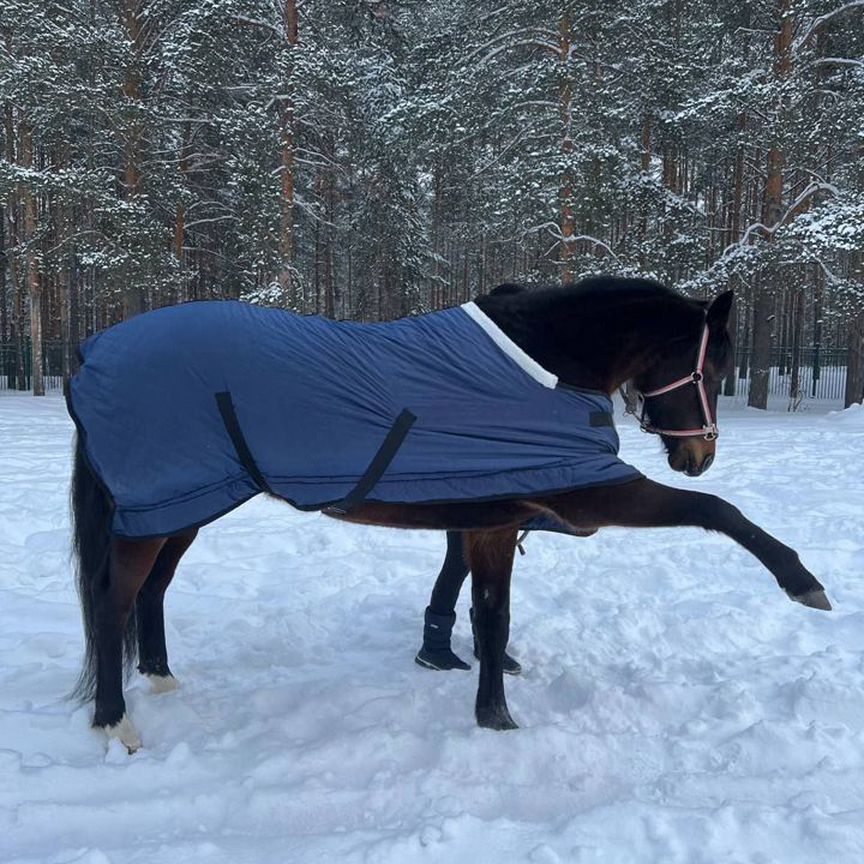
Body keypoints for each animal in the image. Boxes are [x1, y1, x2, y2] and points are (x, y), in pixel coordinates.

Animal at [67, 276, 832, 748]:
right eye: (710, 366)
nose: (698, 454)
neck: (545, 367)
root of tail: (91, 353)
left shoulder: (491, 521)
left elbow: (491, 620)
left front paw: (493, 715)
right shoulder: (590, 492)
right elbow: (718, 511)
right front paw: (802, 582)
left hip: (183, 507)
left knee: (152, 592)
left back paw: (160, 678)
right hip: (161, 508)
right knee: (112, 602)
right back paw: (115, 725)